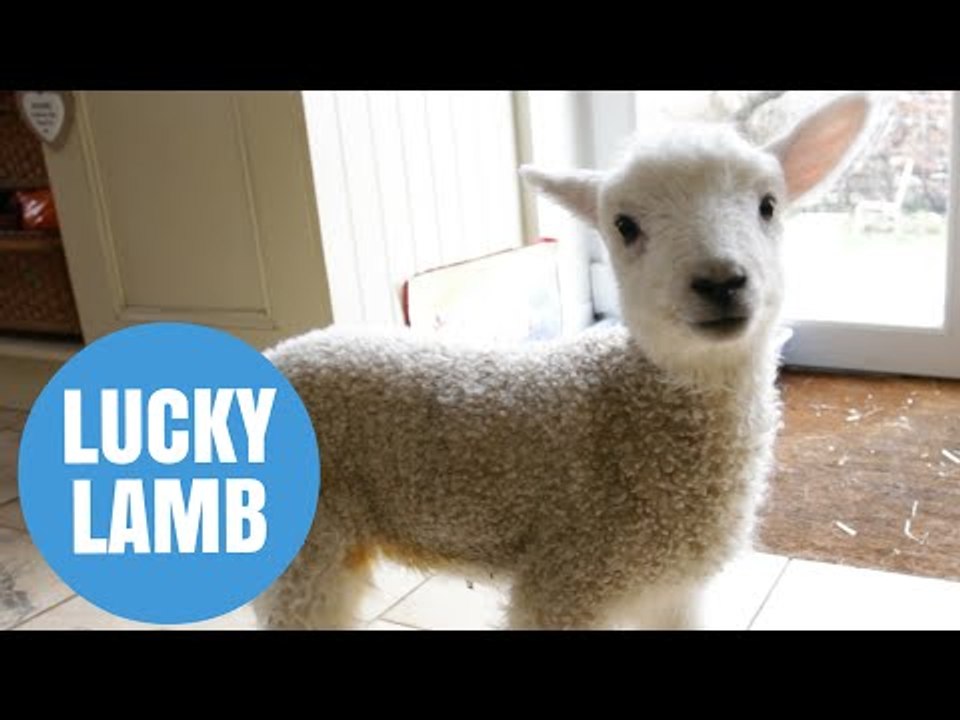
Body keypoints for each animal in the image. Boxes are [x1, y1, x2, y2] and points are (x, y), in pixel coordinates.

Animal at [253, 93, 871, 630]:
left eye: (769, 205)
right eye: (624, 226)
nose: (720, 281)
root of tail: (277, 351)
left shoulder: (672, 586)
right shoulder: (570, 570)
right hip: (305, 542)